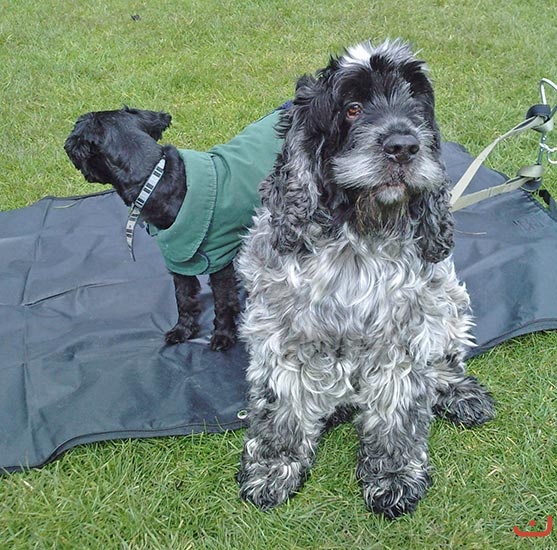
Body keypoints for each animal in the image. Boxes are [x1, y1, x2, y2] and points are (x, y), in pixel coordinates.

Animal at [64, 106, 283, 350]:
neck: (155, 180)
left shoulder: (219, 258)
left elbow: (223, 300)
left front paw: (223, 335)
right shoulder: (179, 259)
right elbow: (183, 298)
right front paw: (183, 330)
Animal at [236, 39, 496, 518]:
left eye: (416, 106)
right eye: (352, 108)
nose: (404, 146)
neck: (357, 240)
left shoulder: (402, 336)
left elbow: (398, 409)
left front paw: (393, 477)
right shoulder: (282, 335)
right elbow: (282, 408)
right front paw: (273, 469)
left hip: (448, 296)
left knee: (447, 356)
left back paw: (462, 395)